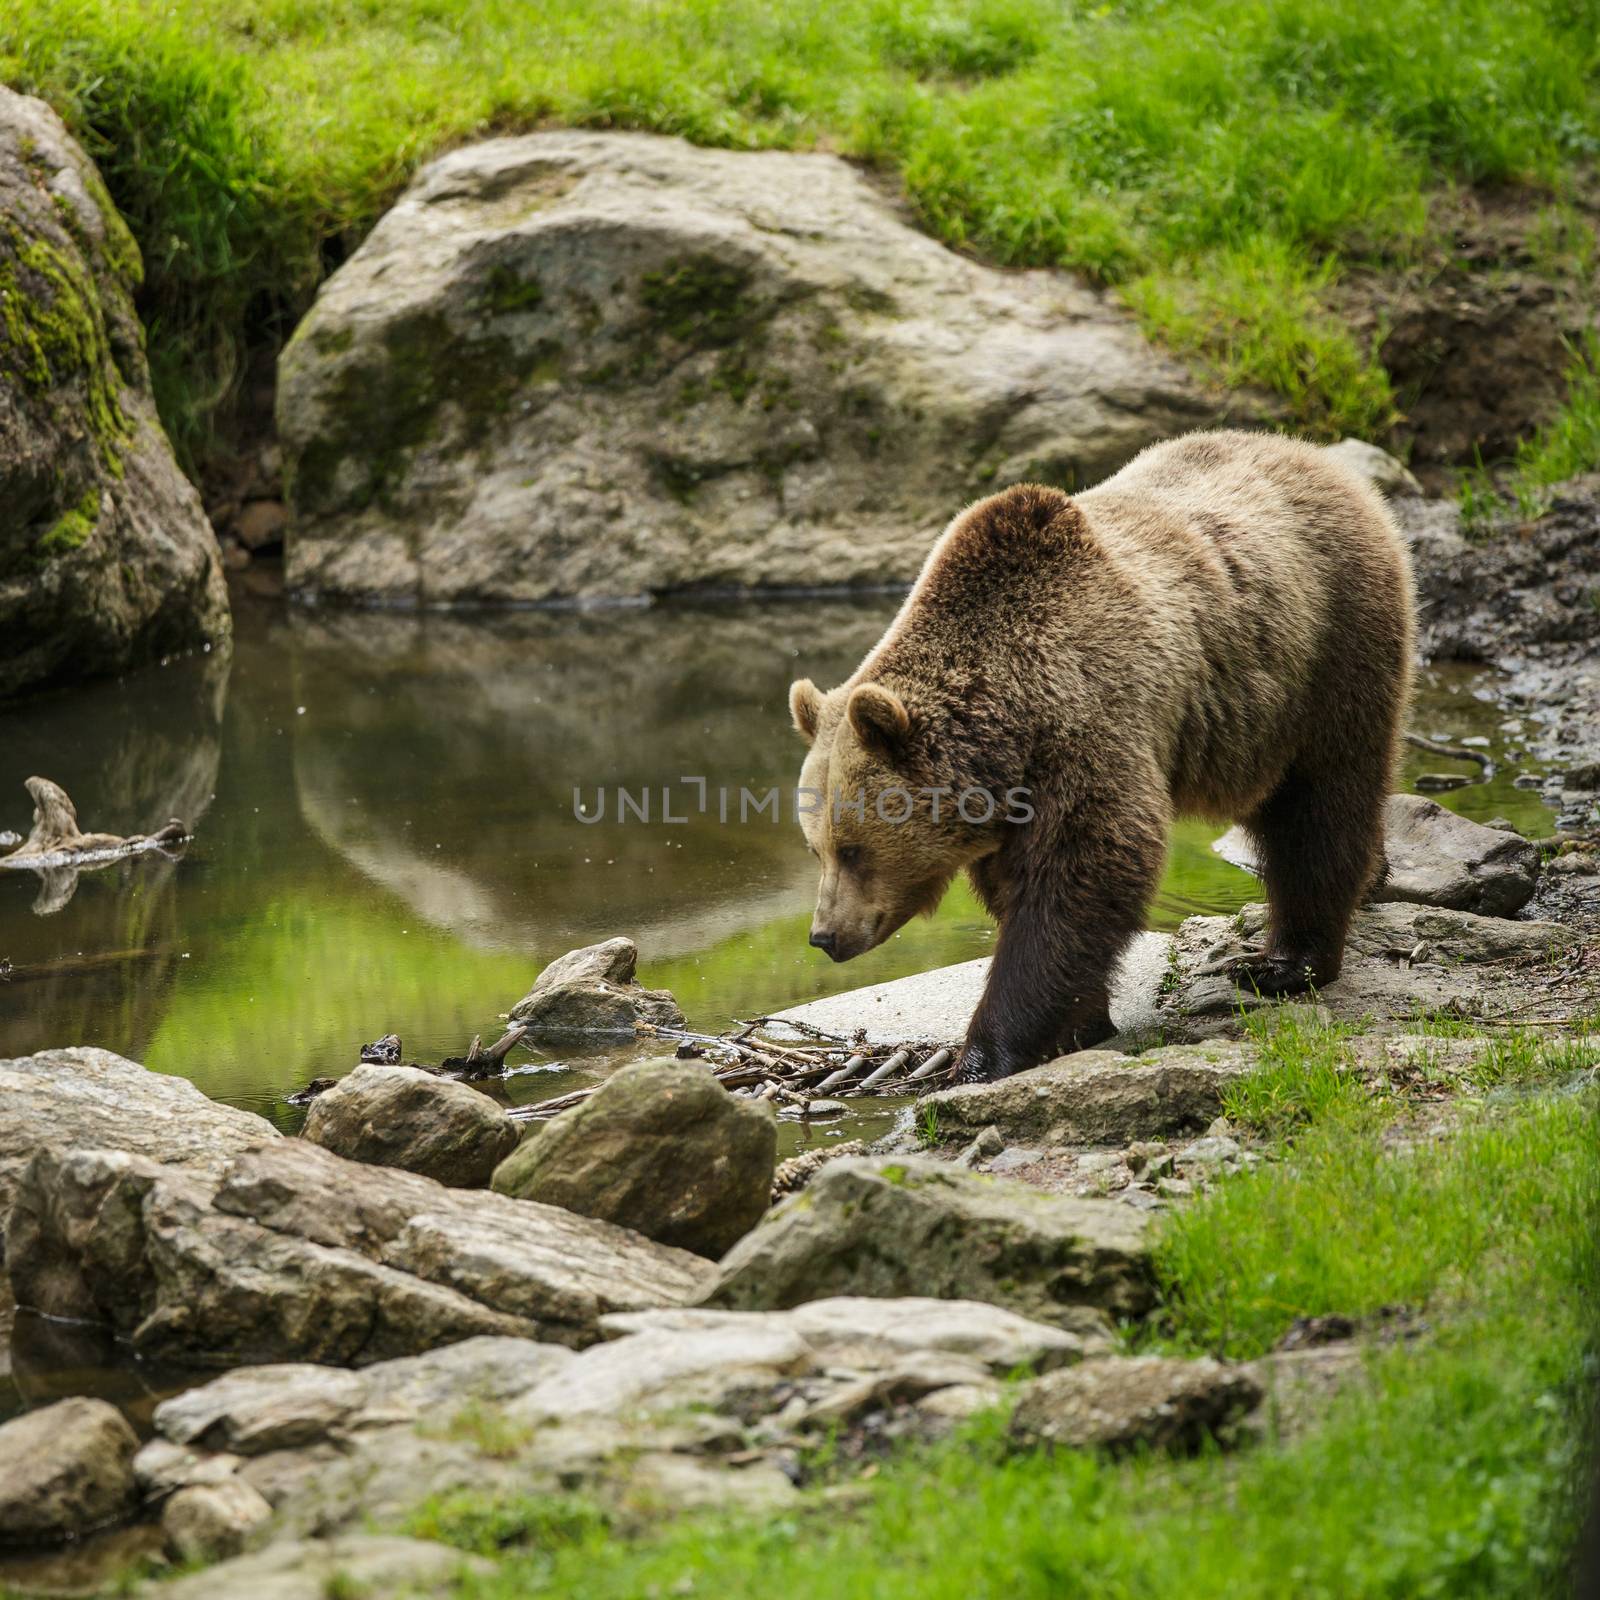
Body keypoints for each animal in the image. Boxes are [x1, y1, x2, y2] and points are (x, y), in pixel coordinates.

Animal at [787, 432, 1414, 1081]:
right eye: (817, 848)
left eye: (853, 849)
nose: (824, 936)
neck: (1009, 728)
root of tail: (1315, 457)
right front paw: (1080, 1022)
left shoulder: (1085, 724)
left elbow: (1081, 875)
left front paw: (985, 1055)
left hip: (1326, 650)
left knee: (1319, 804)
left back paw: (1284, 962)